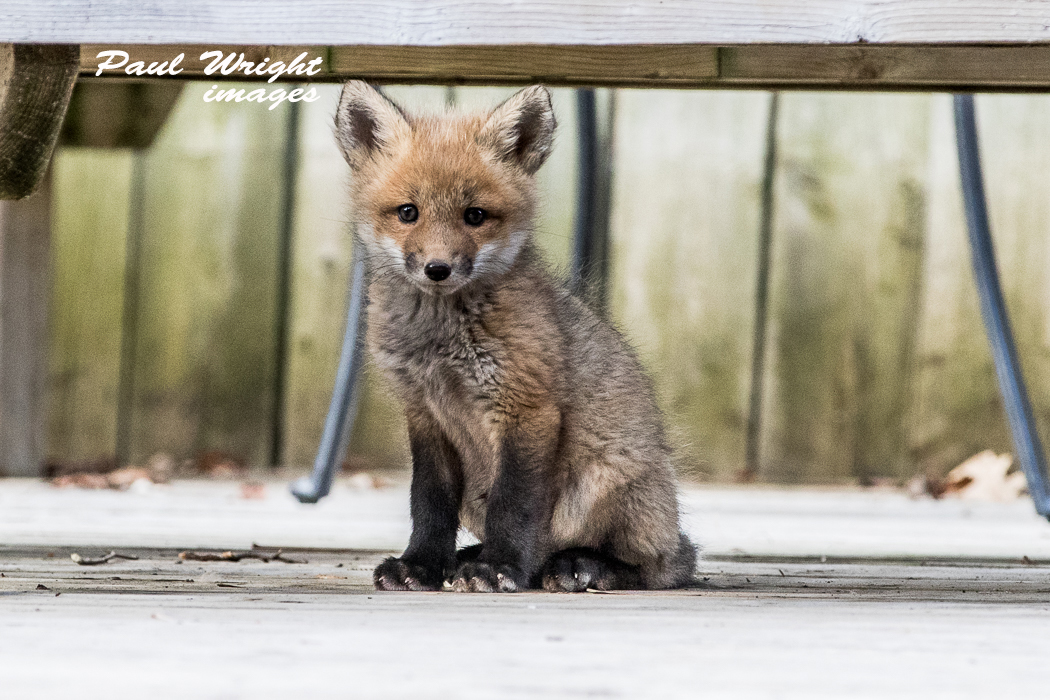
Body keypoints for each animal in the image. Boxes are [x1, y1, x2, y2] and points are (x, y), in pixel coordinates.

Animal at [334, 81, 697, 592]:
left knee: (653, 567)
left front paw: (499, 567)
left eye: (475, 215)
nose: (438, 269)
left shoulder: (526, 407)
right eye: (408, 212)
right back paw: (472, 558)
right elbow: (428, 504)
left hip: (601, 485)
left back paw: (579, 565)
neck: (439, 345)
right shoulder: (424, 413)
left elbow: (514, 504)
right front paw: (421, 565)